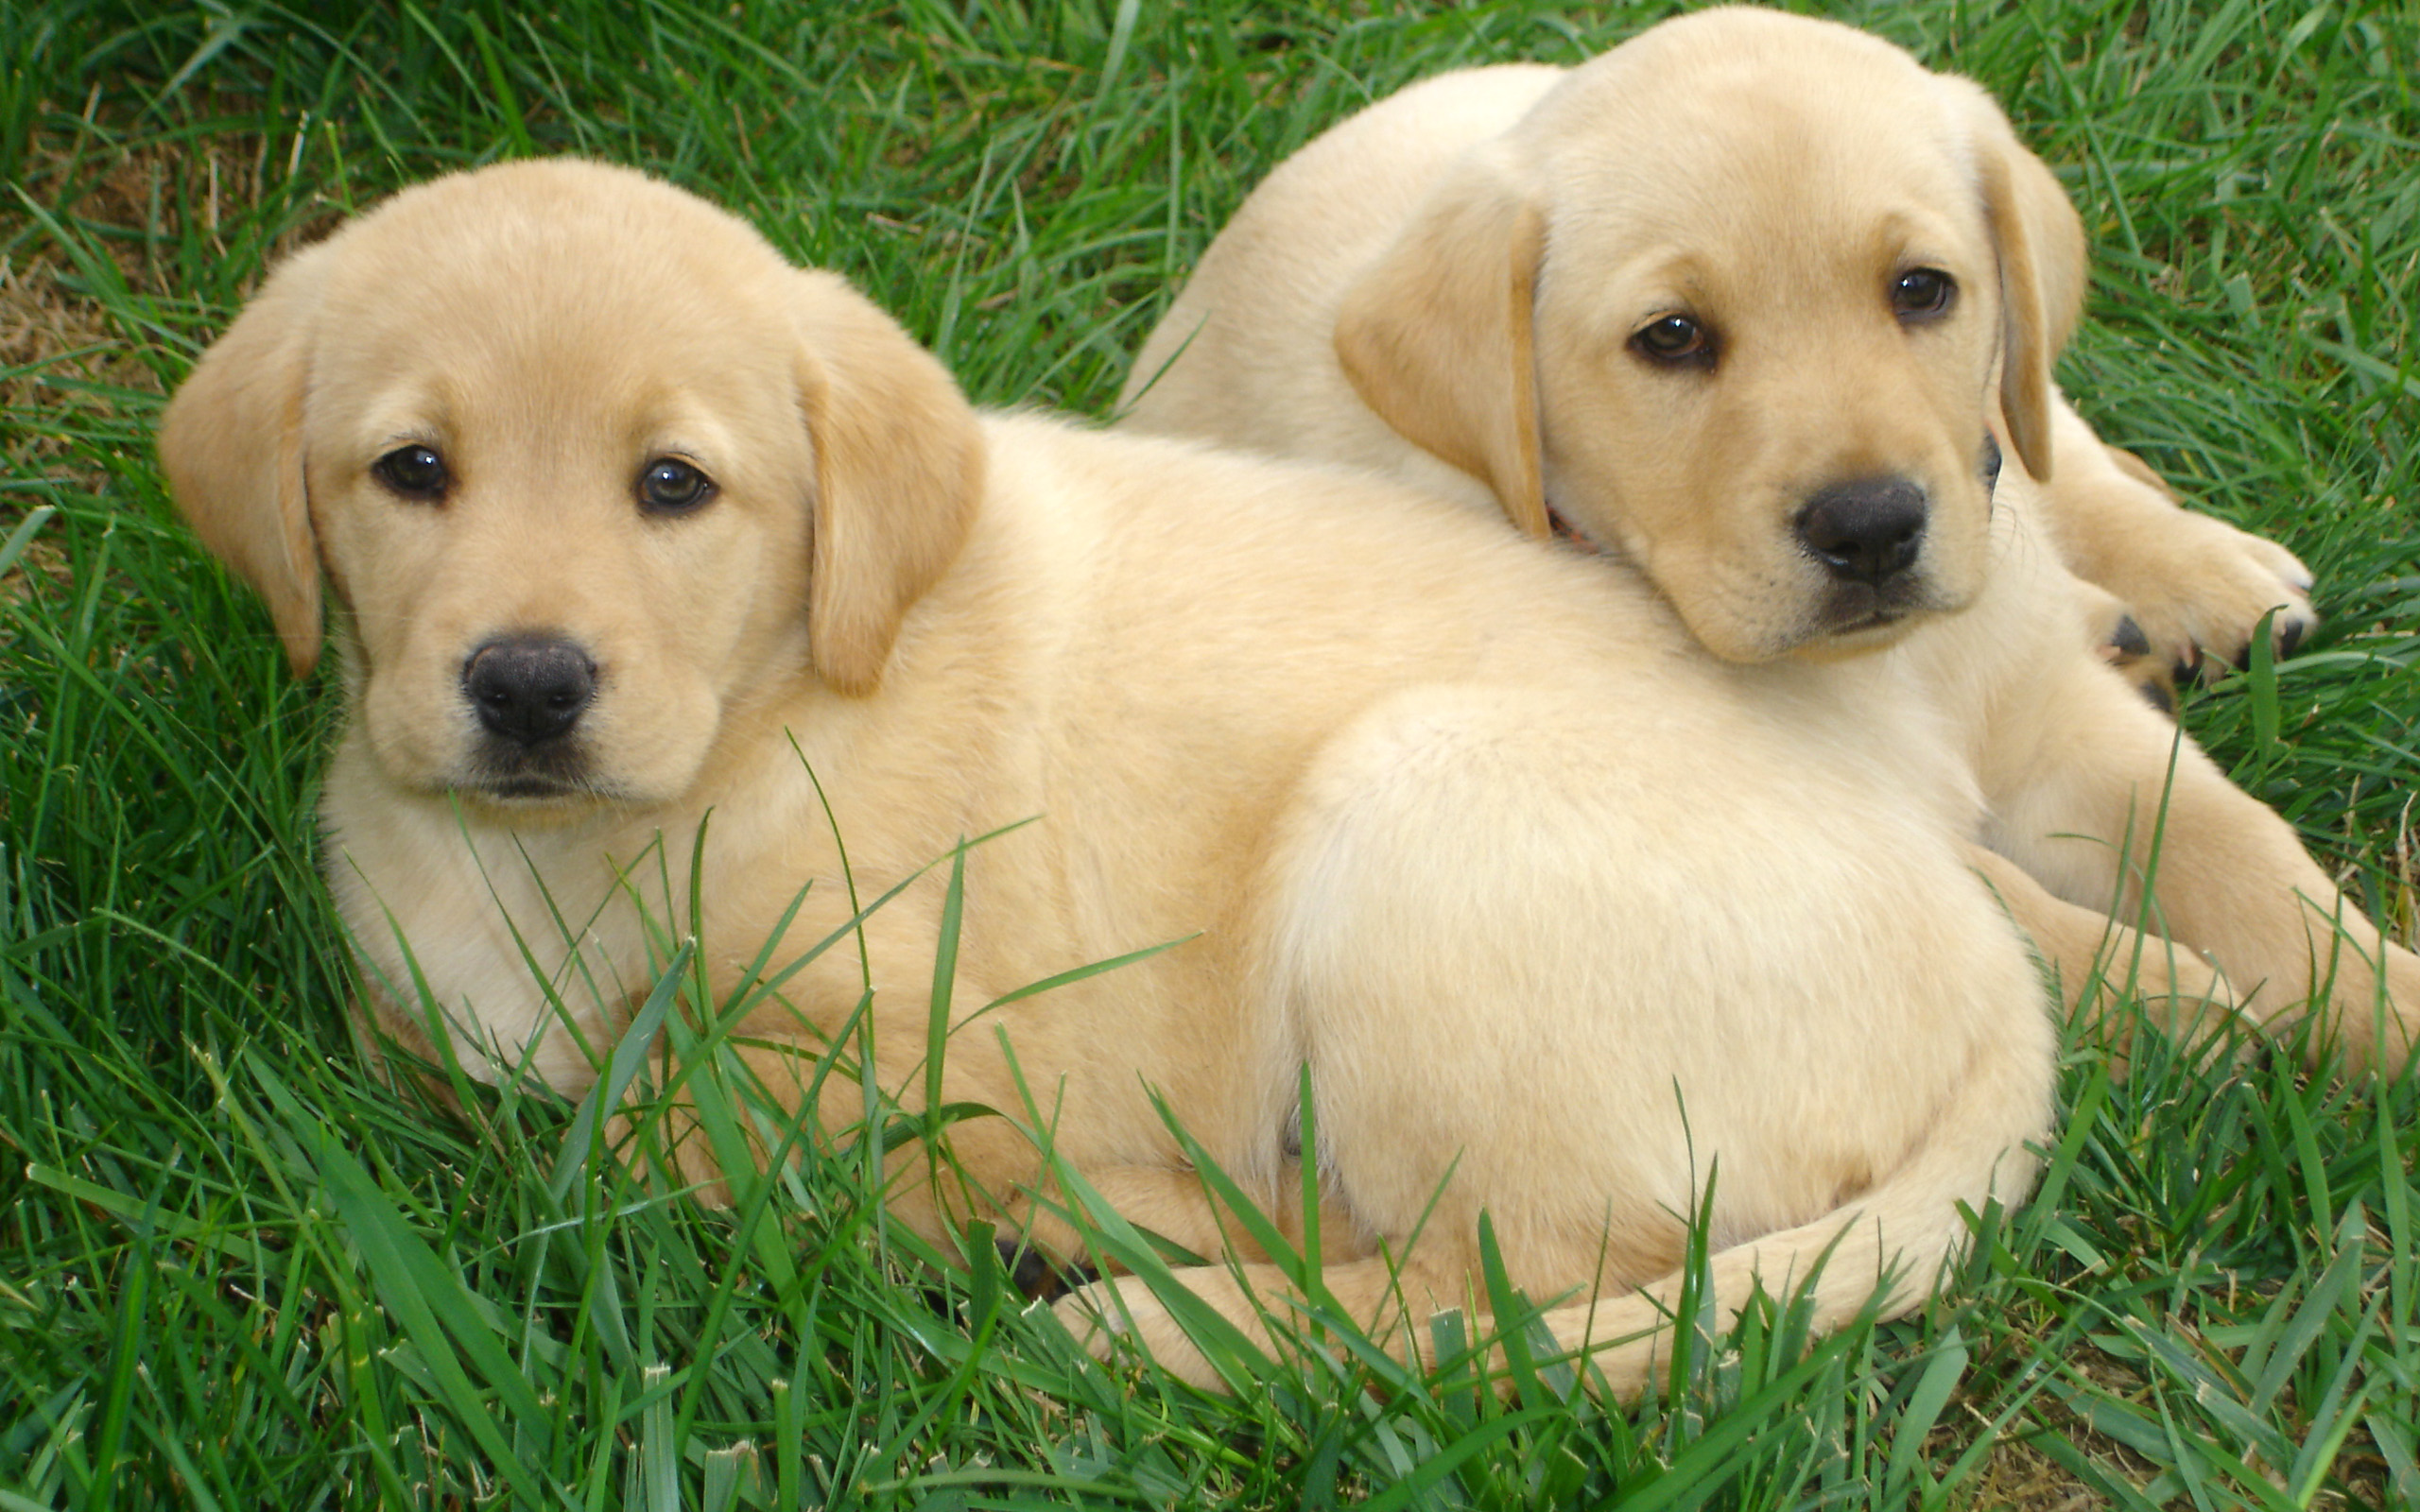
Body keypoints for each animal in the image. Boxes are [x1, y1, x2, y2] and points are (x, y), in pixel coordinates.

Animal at [165, 156, 2062, 1393]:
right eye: (413, 471)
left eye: (674, 488)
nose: (527, 685)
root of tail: (1997, 977)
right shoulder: (405, 1003)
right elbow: (443, 1060)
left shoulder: (917, 1027)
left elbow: (654, 1114)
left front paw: (895, 1182)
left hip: (1419, 816)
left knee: (1505, 1284)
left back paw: (1119, 1269)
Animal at [1117, 6, 2420, 1078]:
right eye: (1672, 336)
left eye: (1920, 289)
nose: (1873, 526)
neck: (1891, 671)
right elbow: (2015, 911)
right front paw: (2176, 1003)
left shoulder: (2059, 723)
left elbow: (2236, 848)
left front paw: (2384, 1001)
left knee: (2060, 444)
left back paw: (2200, 581)